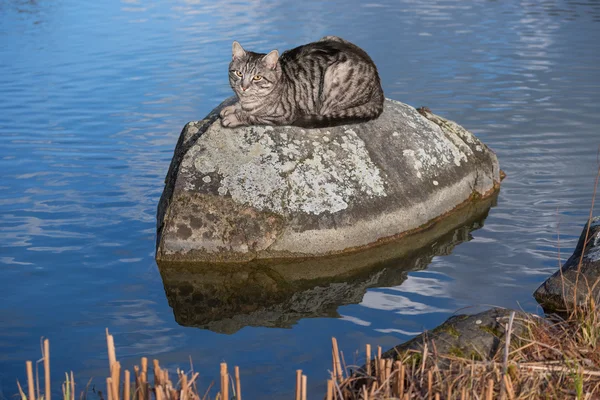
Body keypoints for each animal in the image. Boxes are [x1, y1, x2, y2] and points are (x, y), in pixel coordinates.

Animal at [220, 36, 384, 128]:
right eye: (239, 73)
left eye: (257, 77)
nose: (244, 87)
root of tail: (378, 83)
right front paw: (232, 108)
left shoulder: (284, 115)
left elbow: (252, 116)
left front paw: (234, 117)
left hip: (334, 78)